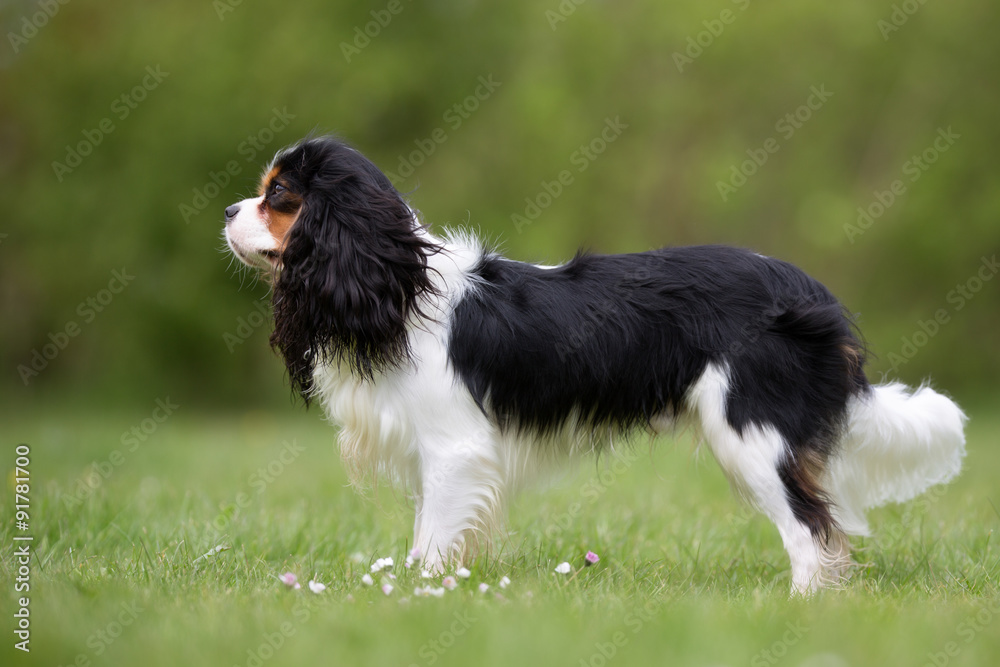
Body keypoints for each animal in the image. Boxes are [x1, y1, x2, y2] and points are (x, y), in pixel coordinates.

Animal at [223, 136, 964, 596]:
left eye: (280, 195)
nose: (228, 208)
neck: (399, 282)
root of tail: (811, 293)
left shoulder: (454, 451)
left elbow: (430, 541)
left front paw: (413, 593)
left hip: (752, 434)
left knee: (811, 529)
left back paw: (803, 607)